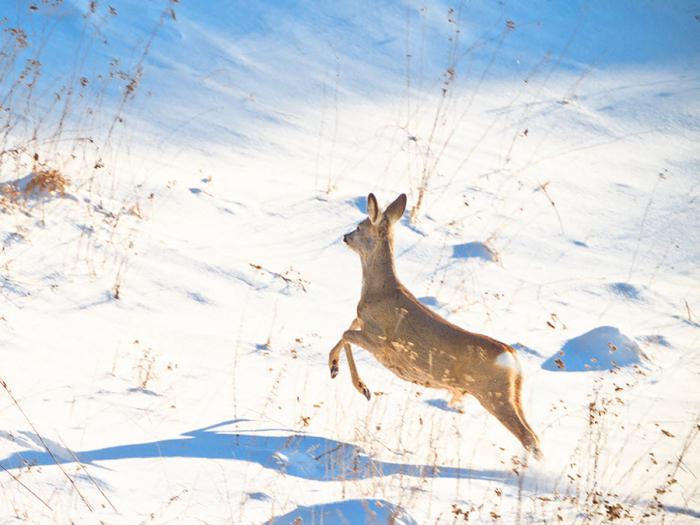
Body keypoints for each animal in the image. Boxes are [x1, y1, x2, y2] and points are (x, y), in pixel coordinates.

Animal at [326, 192, 544, 458]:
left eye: (360, 226)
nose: (345, 236)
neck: (380, 291)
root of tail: (513, 358)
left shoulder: (381, 343)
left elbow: (346, 333)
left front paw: (358, 385)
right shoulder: (366, 326)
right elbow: (348, 327)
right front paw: (336, 370)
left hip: (494, 394)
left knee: (529, 437)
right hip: (512, 394)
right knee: (532, 433)